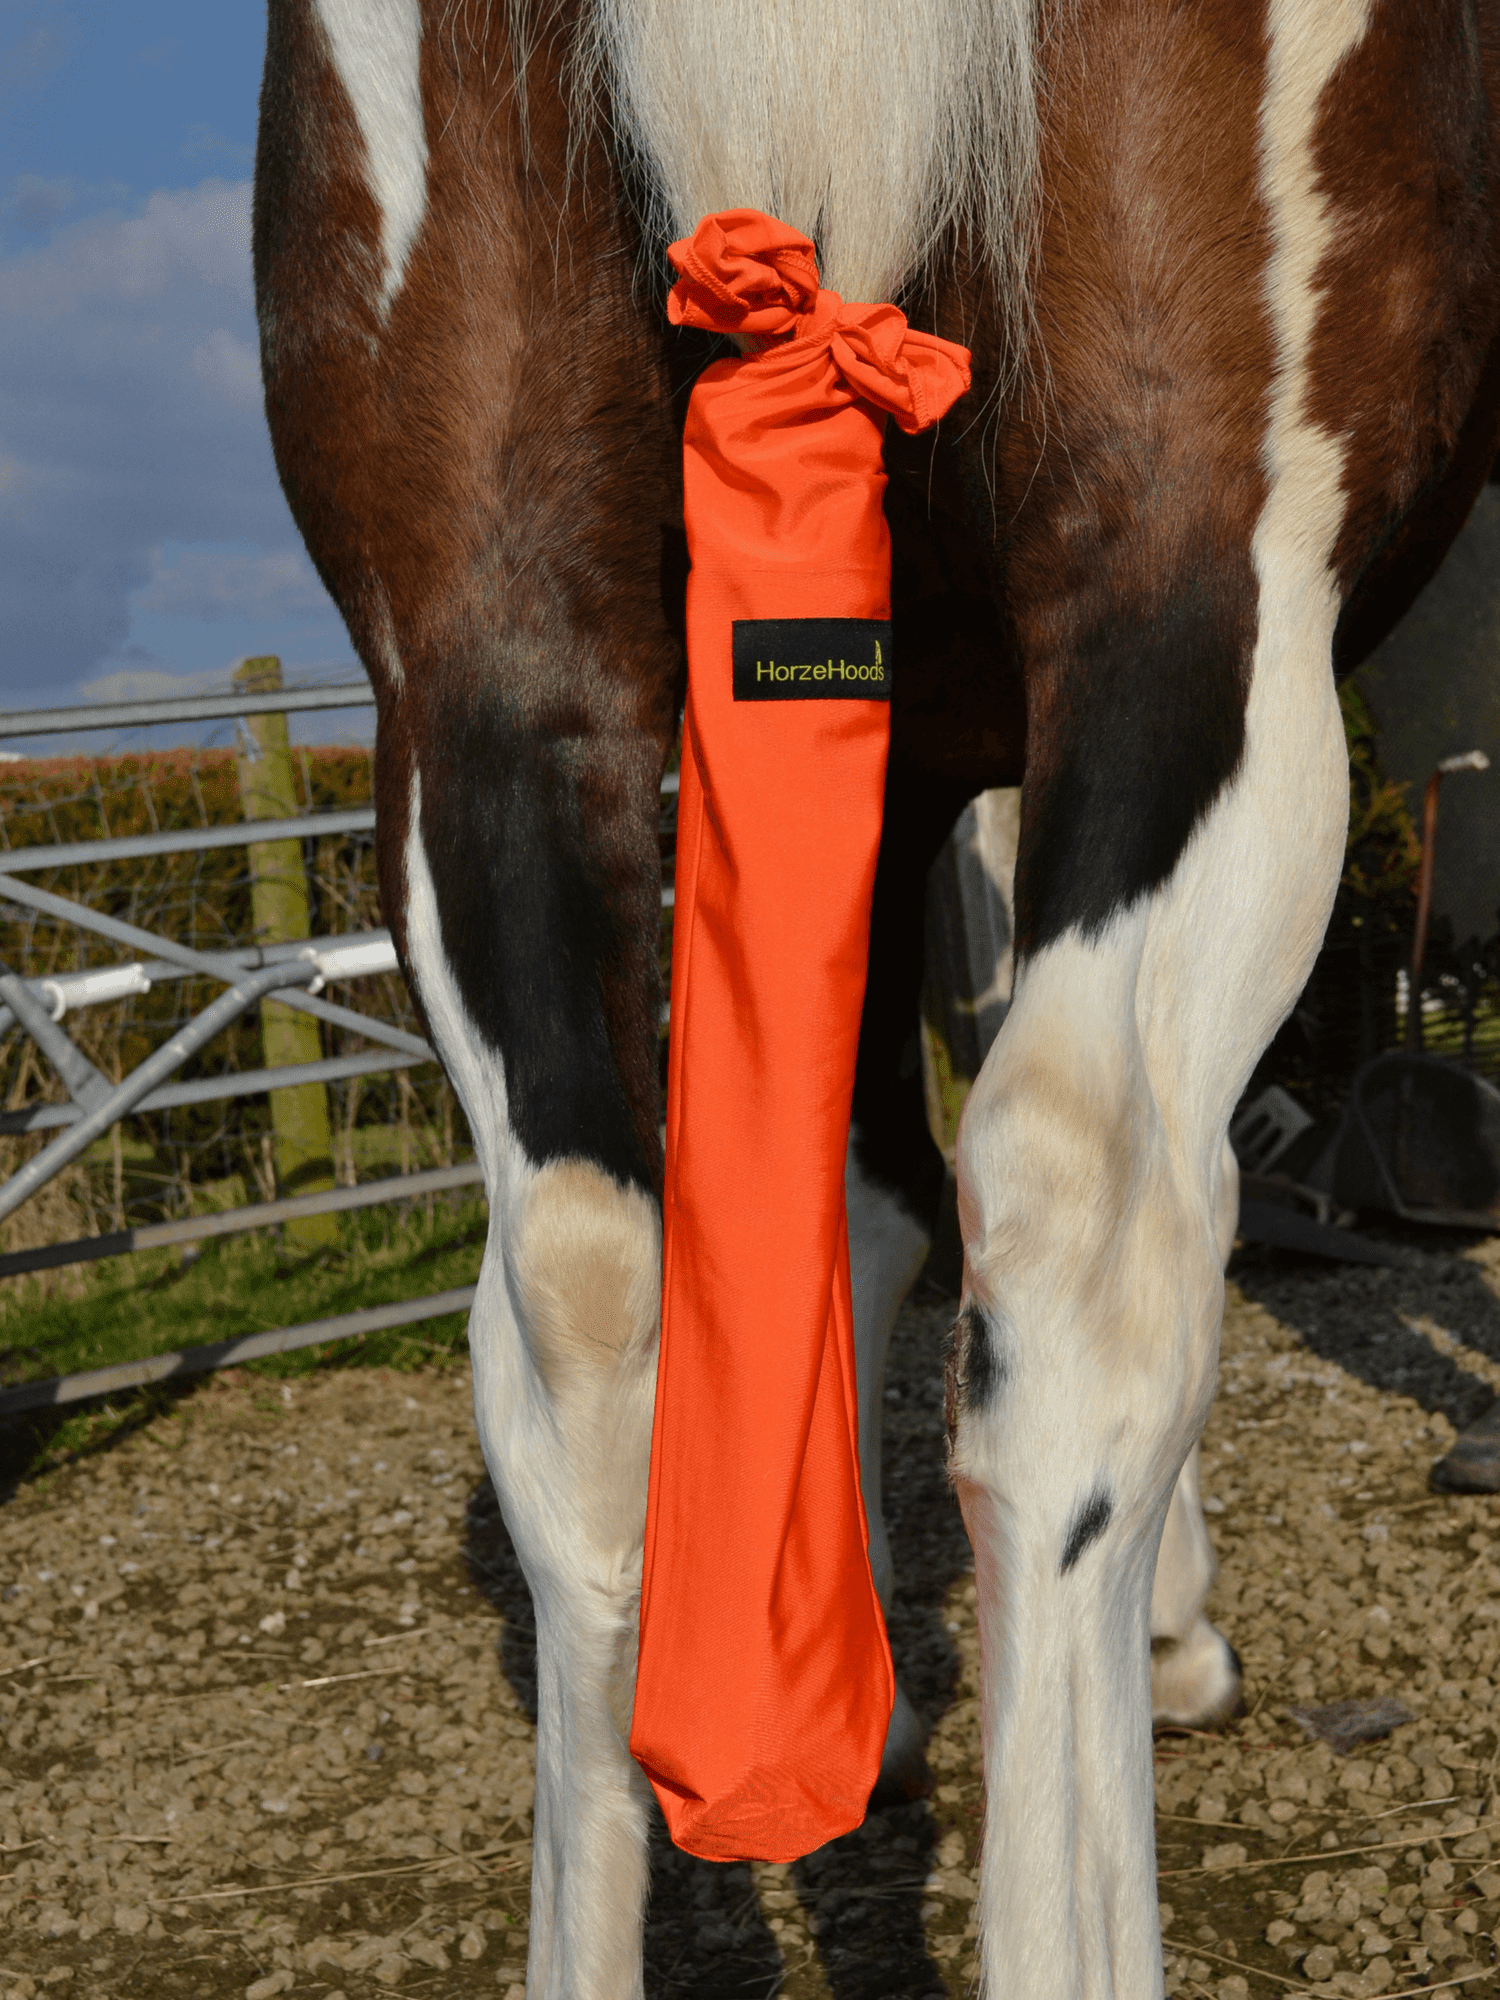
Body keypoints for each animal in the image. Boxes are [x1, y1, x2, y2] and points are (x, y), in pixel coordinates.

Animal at [253, 2, 1500, 1992]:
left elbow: (838, 1196)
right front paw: (1165, 1620)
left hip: (478, 635)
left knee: (585, 1299)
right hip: (1194, 548)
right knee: (1088, 1225)